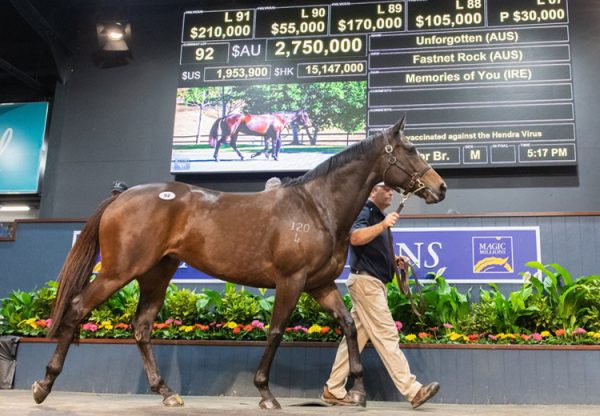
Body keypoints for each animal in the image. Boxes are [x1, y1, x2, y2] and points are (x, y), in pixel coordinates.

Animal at [32, 117, 446, 410]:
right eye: (410, 149)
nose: (439, 188)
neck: (316, 208)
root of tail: (122, 196)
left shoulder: (319, 285)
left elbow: (347, 325)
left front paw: (357, 391)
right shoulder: (292, 281)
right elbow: (276, 331)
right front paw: (266, 393)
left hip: (156, 273)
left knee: (142, 326)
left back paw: (166, 392)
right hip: (119, 272)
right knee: (77, 308)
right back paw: (44, 385)